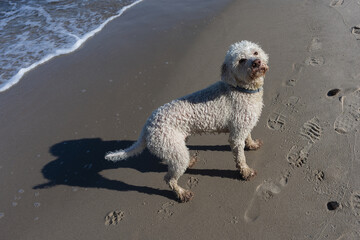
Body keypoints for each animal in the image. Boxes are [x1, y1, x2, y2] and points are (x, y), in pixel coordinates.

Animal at [105, 40, 268, 202]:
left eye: (255, 52)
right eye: (241, 60)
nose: (256, 62)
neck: (241, 89)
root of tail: (146, 127)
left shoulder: (244, 125)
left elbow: (248, 137)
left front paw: (252, 144)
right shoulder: (236, 135)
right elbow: (240, 158)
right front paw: (246, 172)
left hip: (176, 148)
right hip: (171, 148)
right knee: (169, 178)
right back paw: (181, 193)